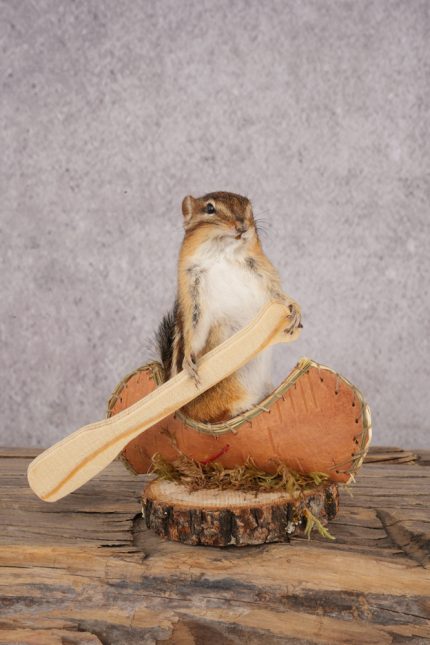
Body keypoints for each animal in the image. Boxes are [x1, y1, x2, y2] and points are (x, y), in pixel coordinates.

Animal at [156, 191, 302, 423]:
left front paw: (294, 307)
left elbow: (277, 294)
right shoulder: (193, 290)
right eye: (209, 209)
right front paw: (188, 363)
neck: (224, 255)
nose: (242, 226)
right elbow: (194, 331)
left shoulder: (263, 273)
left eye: (249, 208)